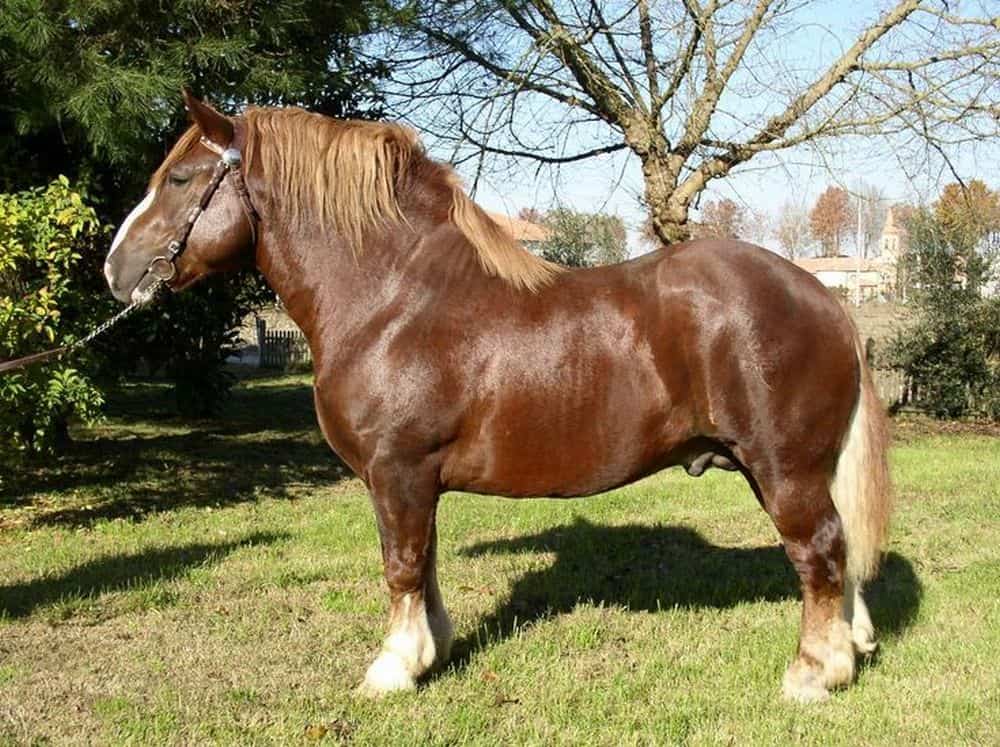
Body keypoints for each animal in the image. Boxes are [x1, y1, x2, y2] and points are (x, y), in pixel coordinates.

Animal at [104, 90, 891, 703]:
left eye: (180, 179)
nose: (117, 269)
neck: (392, 298)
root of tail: (825, 296)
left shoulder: (397, 470)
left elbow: (400, 563)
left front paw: (393, 669)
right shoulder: (415, 480)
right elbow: (422, 561)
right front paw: (433, 650)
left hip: (783, 468)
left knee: (818, 547)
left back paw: (815, 672)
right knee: (838, 547)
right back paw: (852, 645)